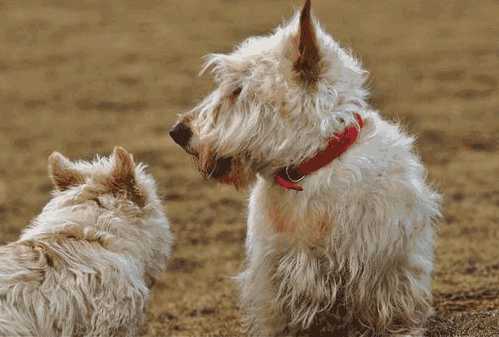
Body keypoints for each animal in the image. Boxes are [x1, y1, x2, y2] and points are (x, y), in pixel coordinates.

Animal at [171, 1, 442, 334]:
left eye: (237, 90)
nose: (177, 131)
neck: (305, 168)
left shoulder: (384, 264)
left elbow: (390, 308)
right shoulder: (274, 269)